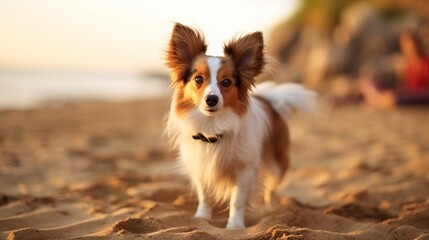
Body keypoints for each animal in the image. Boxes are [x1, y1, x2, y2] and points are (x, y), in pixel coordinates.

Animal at [164, 23, 314, 229]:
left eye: (226, 82)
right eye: (198, 79)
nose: (211, 99)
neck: (213, 127)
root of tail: (268, 101)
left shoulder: (244, 170)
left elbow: (237, 200)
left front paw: (235, 226)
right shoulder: (200, 166)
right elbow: (205, 195)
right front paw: (202, 217)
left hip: (276, 163)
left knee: (272, 188)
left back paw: (272, 209)